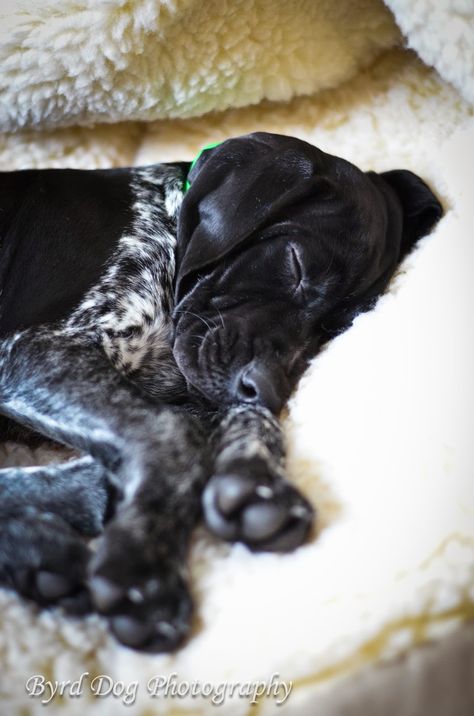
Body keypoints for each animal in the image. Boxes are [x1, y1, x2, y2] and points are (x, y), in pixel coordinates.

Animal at [0, 131, 440, 652]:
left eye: (337, 327)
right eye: (295, 264)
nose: (269, 389)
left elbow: (249, 420)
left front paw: (257, 483)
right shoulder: (33, 350)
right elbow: (175, 431)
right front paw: (145, 569)